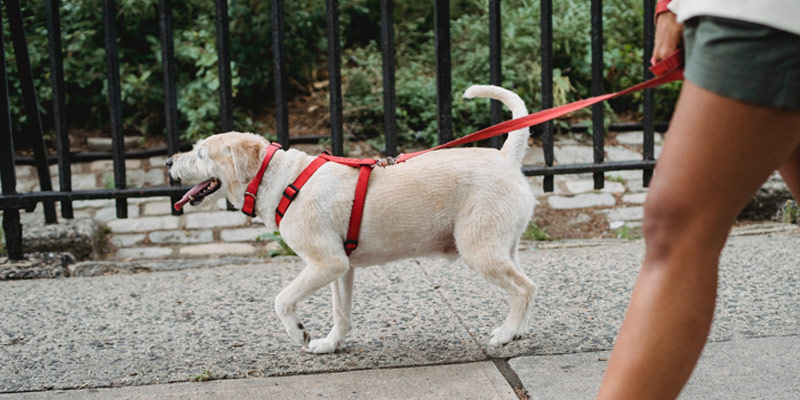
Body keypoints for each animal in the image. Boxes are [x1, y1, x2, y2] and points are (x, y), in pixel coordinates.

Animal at [170, 84, 536, 354]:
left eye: (201, 153)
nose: (168, 162)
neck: (280, 178)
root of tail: (507, 157)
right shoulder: (341, 270)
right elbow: (341, 312)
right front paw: (330, 344)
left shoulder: (326, 263)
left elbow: (282, 300)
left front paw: (299, 333)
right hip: (504, 247)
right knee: (525, 286)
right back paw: (517, 331)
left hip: (480, 249)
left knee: (525, 288)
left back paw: (506, 334)